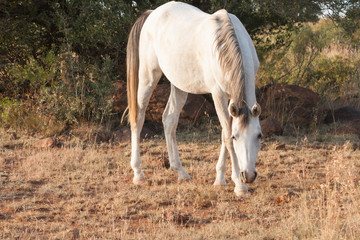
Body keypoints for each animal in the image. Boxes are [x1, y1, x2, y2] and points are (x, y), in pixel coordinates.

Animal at [126, 1, 262, 197]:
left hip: (179, 85)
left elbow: (223, 134)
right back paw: (138, 174)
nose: (249, 176)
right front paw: (239, 185)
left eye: (259, 135)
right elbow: (226, 135)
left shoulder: (231, 100)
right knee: (138, 118)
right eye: (236, 137)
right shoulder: (218, 95)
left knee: (169, 120)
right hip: (148, 77)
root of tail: (152, 14)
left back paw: (180, 172)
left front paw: (220, 179)